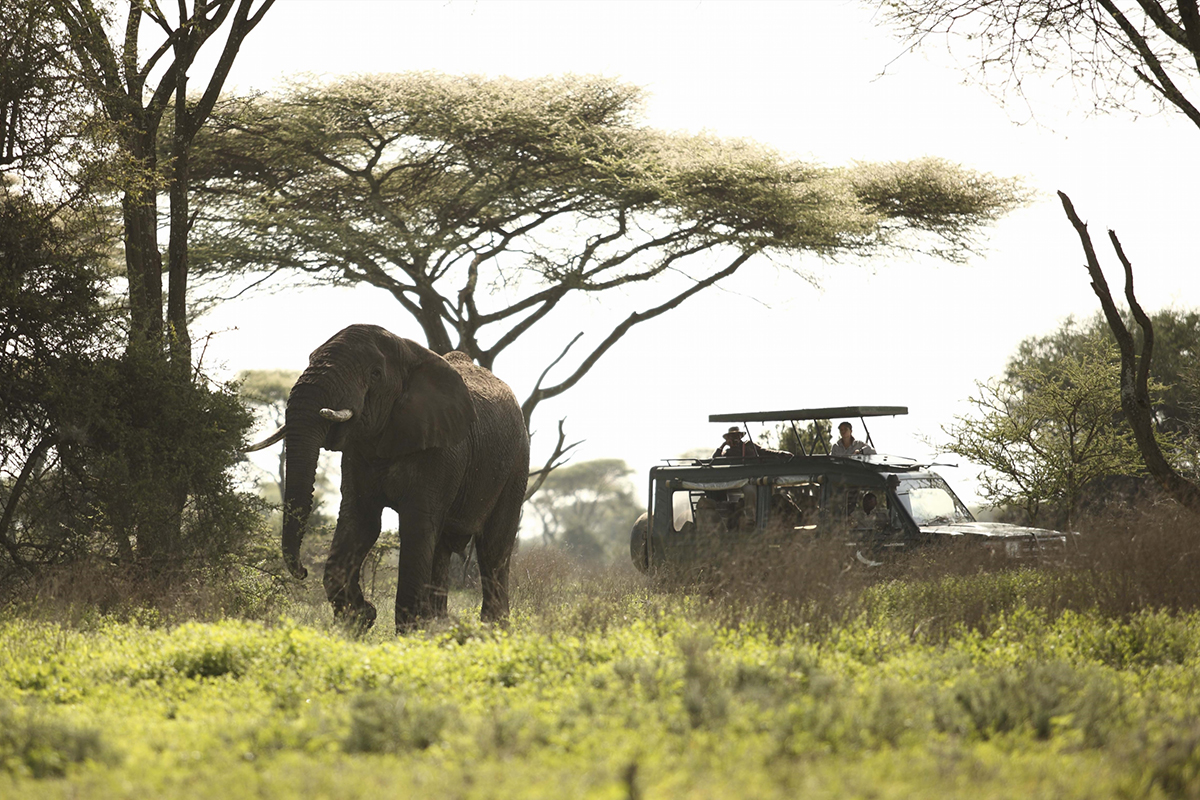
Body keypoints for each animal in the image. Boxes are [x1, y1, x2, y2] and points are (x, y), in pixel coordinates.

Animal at [248, 326, 530, 633]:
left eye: (375, 374)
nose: (302, 571)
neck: (409, 353)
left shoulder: (441, 450)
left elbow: (416, 528)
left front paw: (408, 635)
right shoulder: (358, 451)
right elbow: (361, 522)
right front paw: (361, 619)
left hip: (517, 463)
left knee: (493, 547)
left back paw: (493, 630)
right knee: (442, 548)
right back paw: (441, 627)